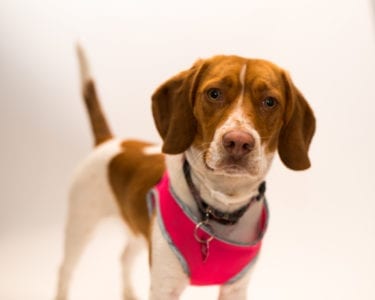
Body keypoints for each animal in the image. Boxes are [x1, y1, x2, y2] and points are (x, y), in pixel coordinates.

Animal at [54, 47, 316, 300]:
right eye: (214, 93)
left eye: (270, 101)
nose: (238, 142)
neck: (221, 206)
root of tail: (109, 141)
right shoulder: (164, 287)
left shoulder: (235, 289)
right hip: (80, 225)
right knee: (65, 269)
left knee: (125, 257)